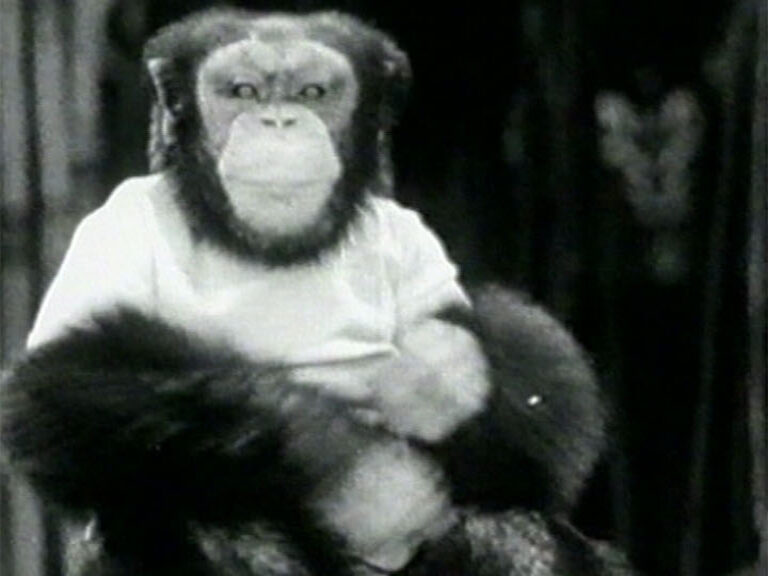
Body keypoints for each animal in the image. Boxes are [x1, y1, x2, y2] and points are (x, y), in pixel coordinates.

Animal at [1, 9, 626, 576]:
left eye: (313, 91)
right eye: (243, 91)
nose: (279, 120)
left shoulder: (412, 238)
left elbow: (544, 398)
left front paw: (441, 374)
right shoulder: (115, 225)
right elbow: (61, 380)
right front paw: (354, 468)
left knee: (509, 530)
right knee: (213, 525)